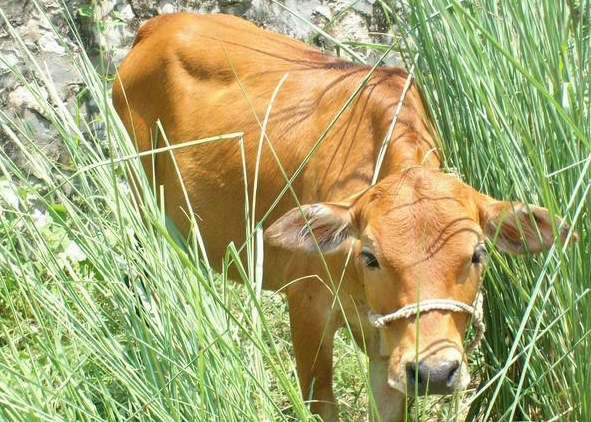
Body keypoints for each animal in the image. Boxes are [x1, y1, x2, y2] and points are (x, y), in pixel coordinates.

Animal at [113, 13, 576, 422]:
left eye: (478, 254)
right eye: (370, 256)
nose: (435, 372)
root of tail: (157, 25)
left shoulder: (388, 349)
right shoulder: (306, 305)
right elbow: (321, 403)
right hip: (140, 205)